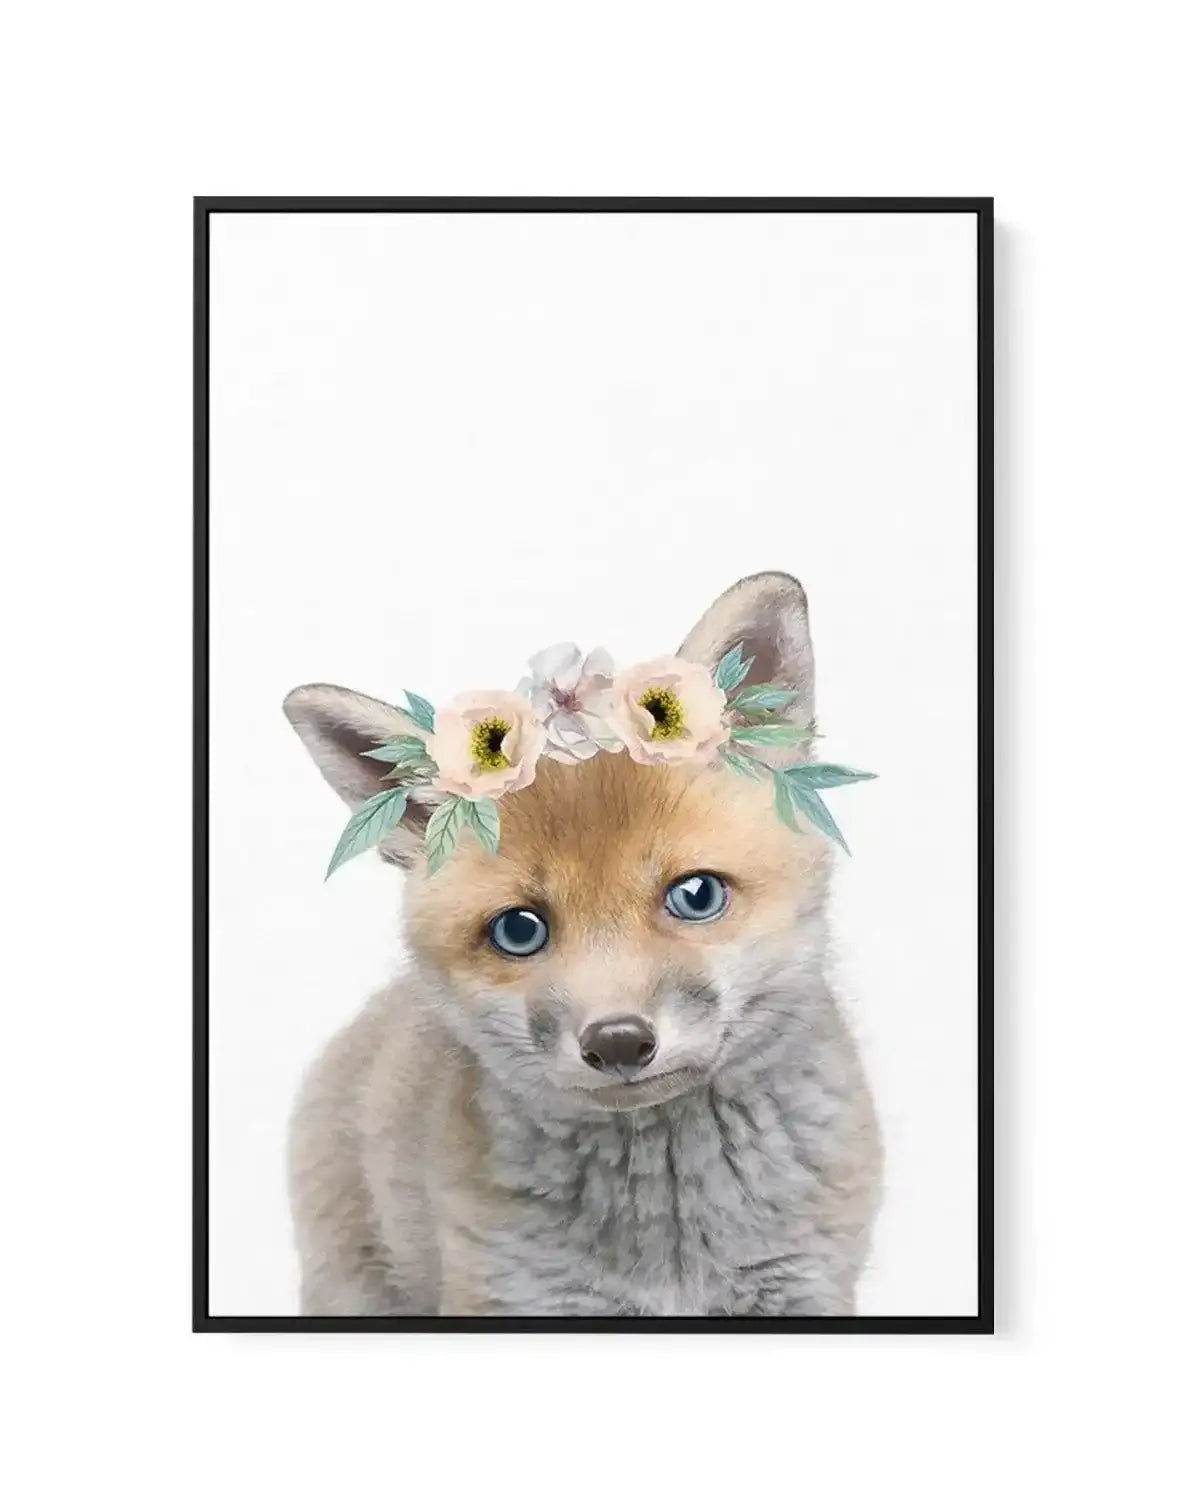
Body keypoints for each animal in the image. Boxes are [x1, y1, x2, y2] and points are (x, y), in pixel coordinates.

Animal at [283, 571, 881, 1316]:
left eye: (697, 895)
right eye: (519, 930)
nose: (619, 1042)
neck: (670, 1242)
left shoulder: (803, 1285)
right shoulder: (514, 1293)